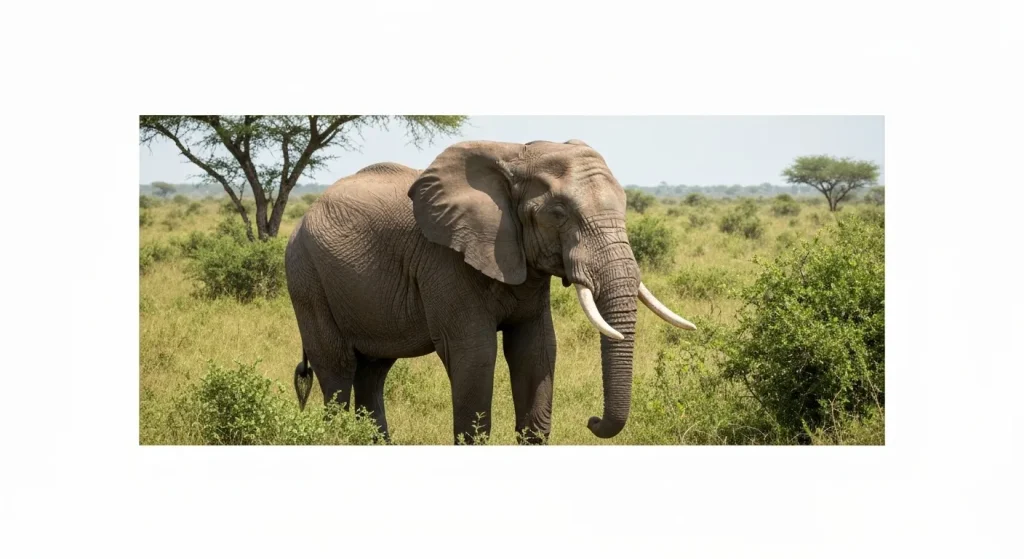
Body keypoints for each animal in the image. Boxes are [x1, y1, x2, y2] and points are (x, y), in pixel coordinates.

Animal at [285, 139, 695, 444]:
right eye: (558, 213)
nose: (592, 421)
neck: (516, 155)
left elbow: (537, 348)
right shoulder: (446, 261)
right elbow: (475, 353)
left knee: (373, 371)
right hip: (306, 277)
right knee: (338, 368)